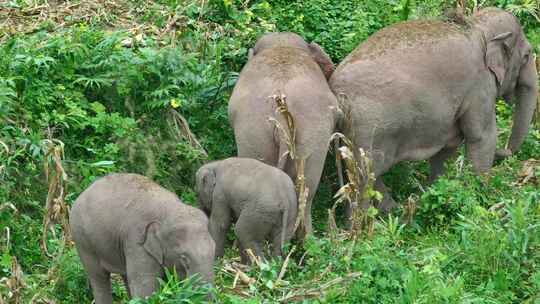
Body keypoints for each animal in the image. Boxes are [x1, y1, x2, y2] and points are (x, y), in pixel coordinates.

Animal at [69, 173, 215, 304]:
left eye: (214, 251)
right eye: (183, 257)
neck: (168, 210)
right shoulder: (137, 241)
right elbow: (145, 288)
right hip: (82, 239)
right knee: (99, 277)